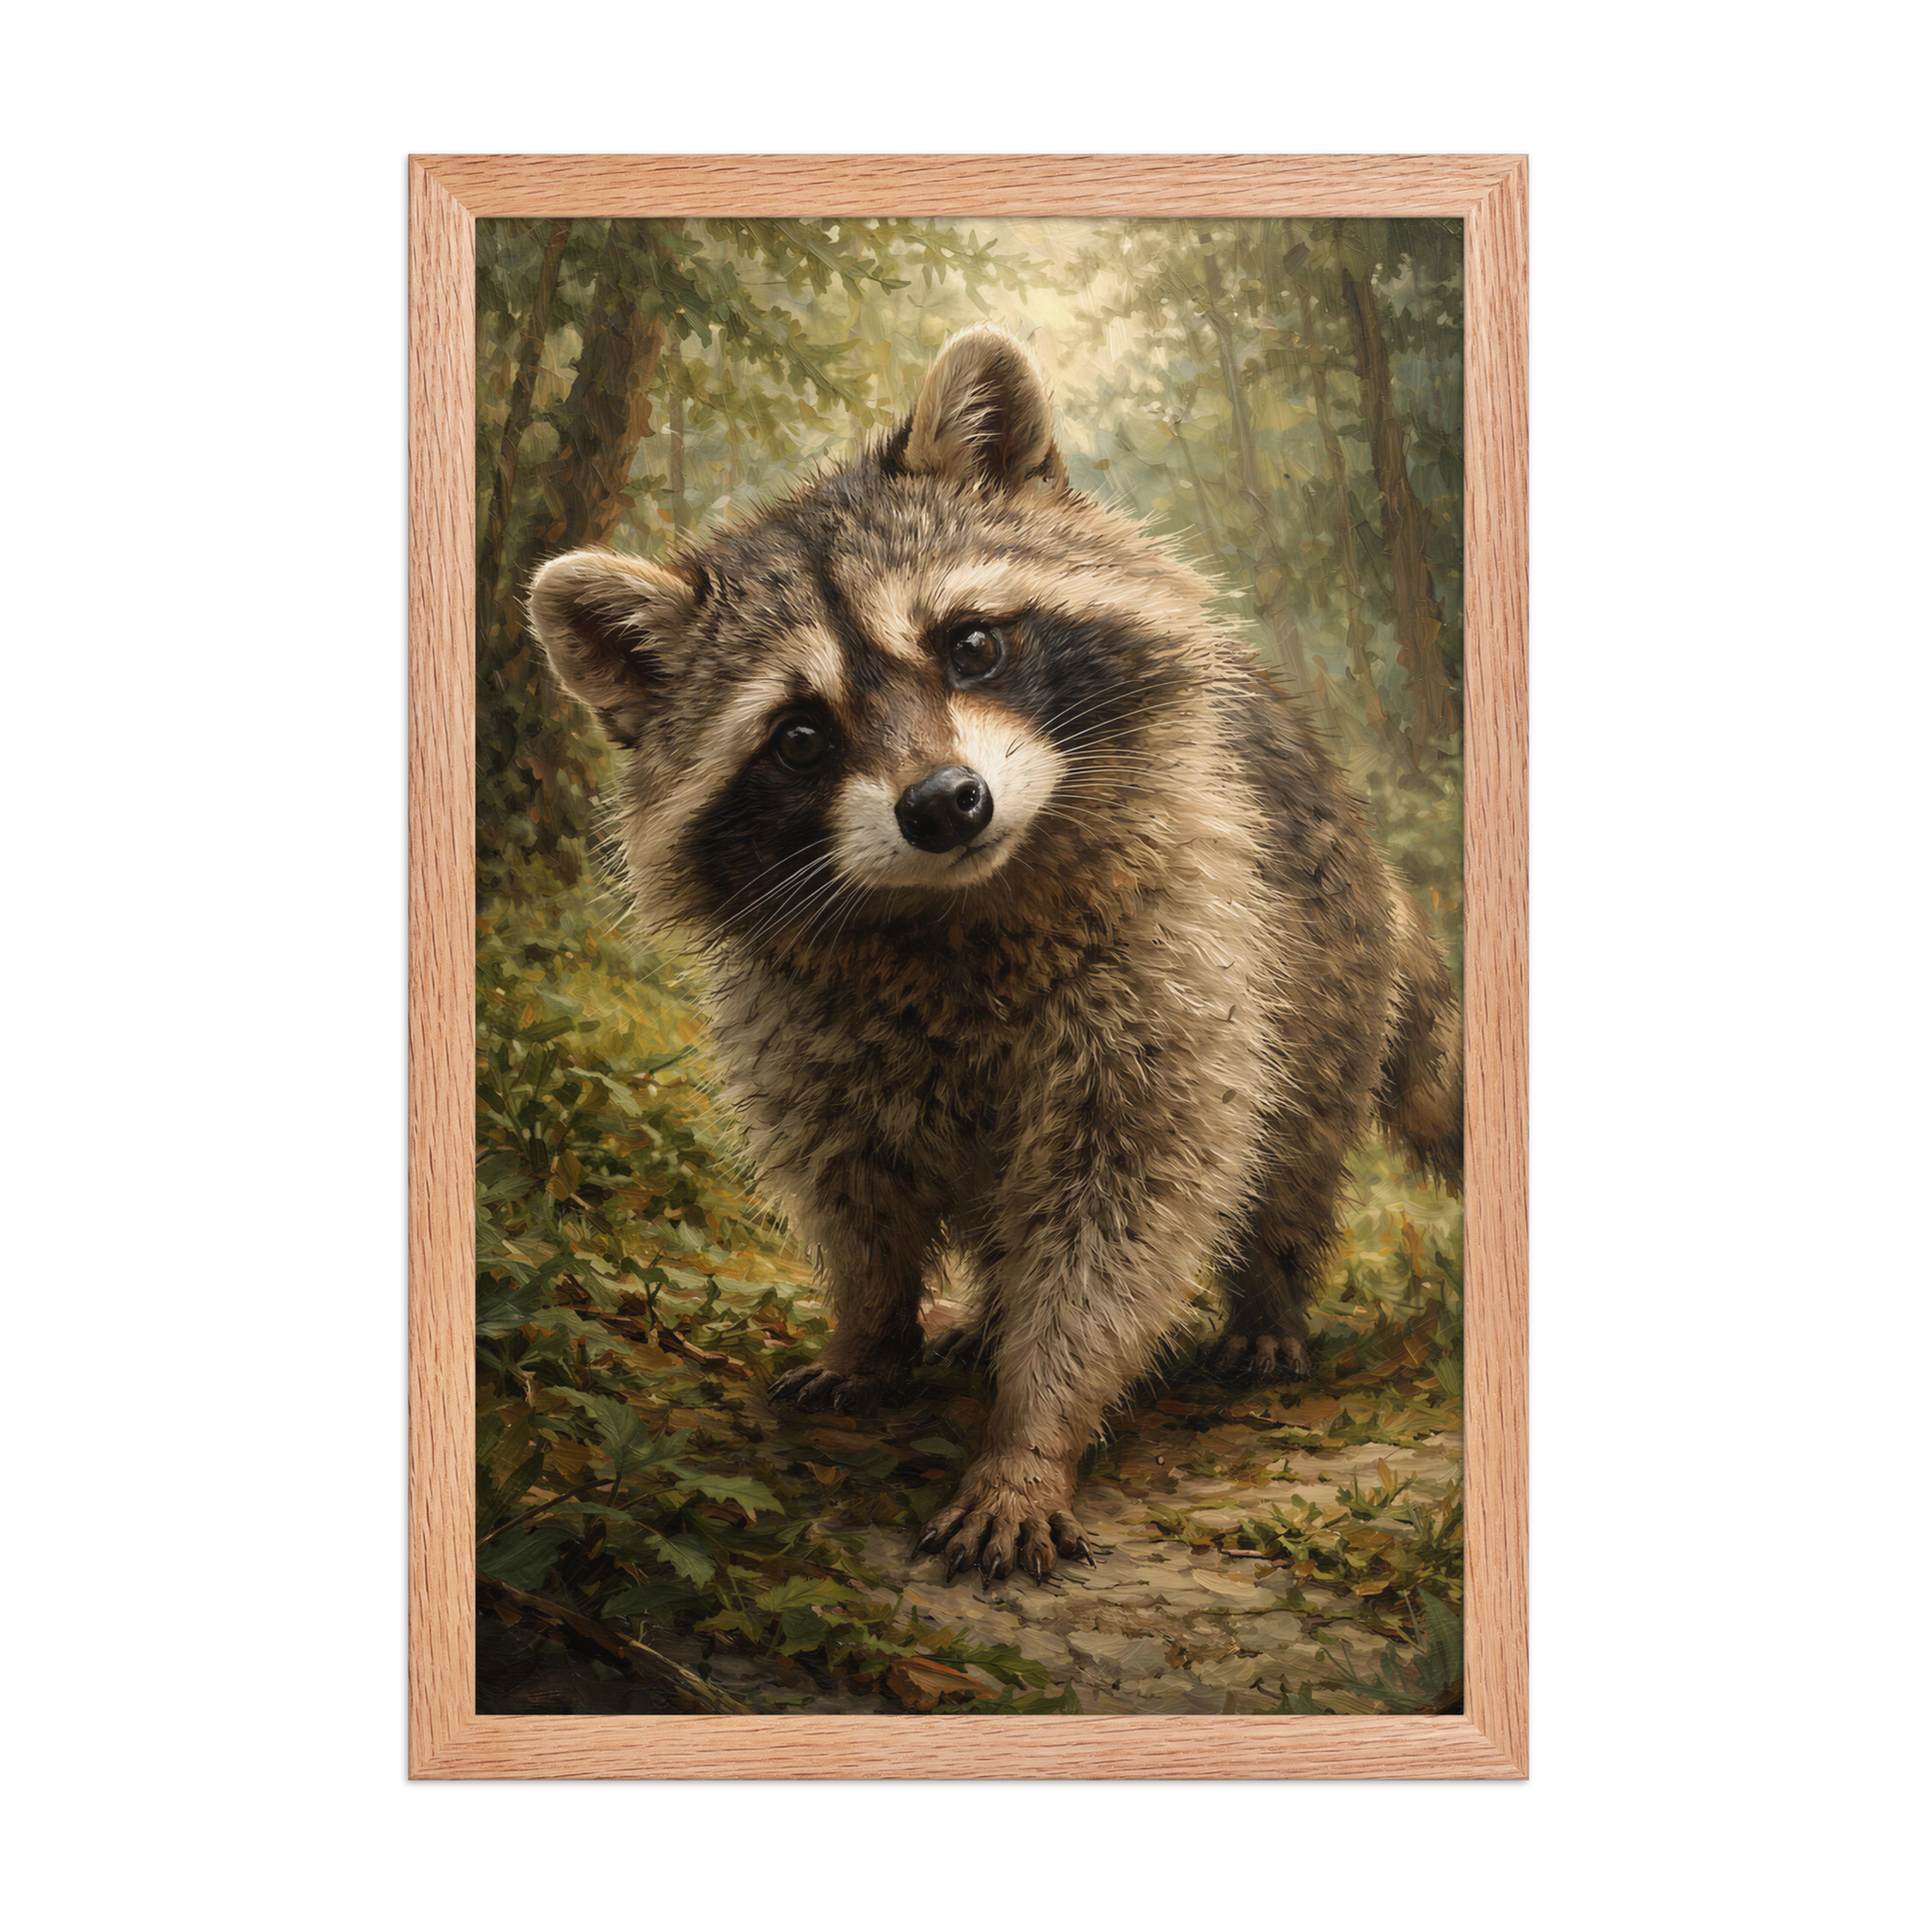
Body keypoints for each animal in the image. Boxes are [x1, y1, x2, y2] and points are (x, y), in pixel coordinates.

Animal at [528, 325, 1462, 1587]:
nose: (943, 804)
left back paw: (1265, 1295)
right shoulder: (798, 1025)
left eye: (970, 644)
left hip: (1319, 963)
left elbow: (1120, 1213)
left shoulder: (1175, 959)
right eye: (799, 735)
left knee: (1290, 1150)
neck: (955, 909)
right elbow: (851, 1189)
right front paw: (870, 1327)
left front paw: (1031, 1432)